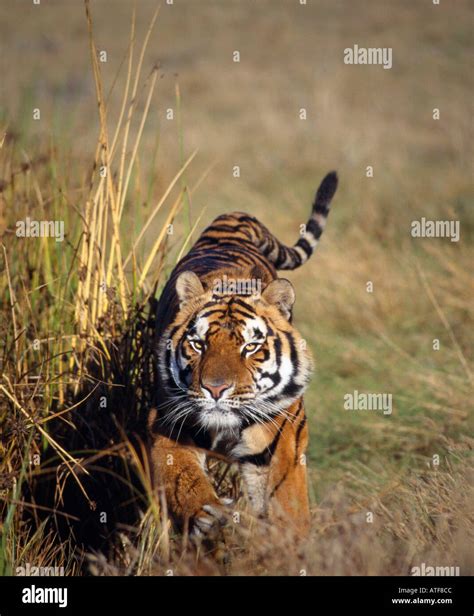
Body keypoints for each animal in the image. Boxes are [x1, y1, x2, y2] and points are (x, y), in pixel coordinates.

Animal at [148, 171, 336, 536]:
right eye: (198, 344)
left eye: (250, 347)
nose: (216, 389)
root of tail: (233, 218)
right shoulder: (166, 428)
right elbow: (184, 480)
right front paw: (211, 516)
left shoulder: (283, 445)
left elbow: (288, 506)